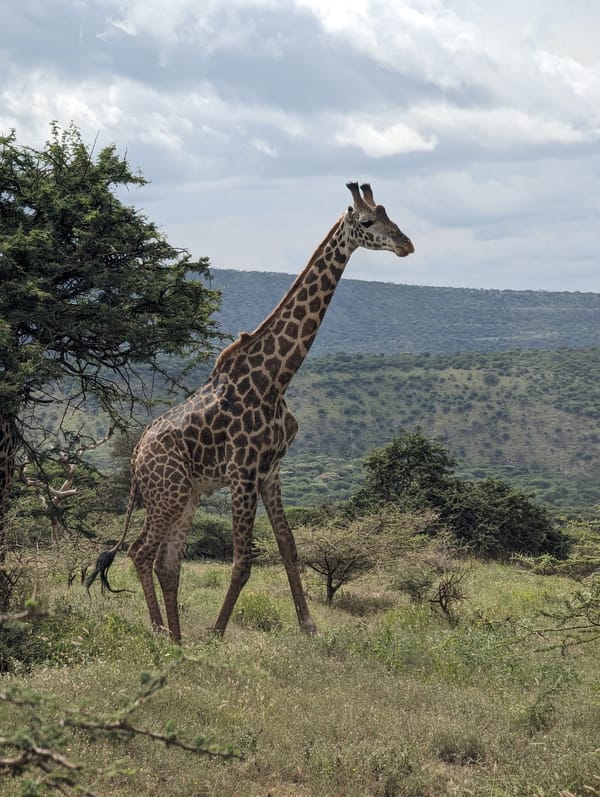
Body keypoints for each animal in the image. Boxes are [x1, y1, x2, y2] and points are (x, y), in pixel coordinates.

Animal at [86, 182, 414, 642]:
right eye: (368, 222)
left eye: (390, 215)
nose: (406, 244)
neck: (277, 378)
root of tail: (135, 458)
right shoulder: (243, 469)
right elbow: (243, 560)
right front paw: (217, 632)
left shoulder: (271, 469)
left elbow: (288, 546)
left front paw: (309, 627)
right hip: (167, 492)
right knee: (140, 550)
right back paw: (160, 632)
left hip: (187, 494)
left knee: (167, 561)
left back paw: (178, 638)